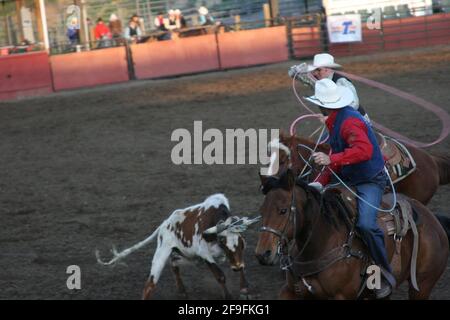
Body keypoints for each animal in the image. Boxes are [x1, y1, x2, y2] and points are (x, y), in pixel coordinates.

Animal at [96, 192, 256, 300]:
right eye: (223, 242)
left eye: (241, 244)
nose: (236, 267)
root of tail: (164, 224)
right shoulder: (204, 254)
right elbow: (220, 275)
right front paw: (229, 295)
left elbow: (241, 265)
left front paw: (244, 288)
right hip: (162, 252)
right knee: (150, 284)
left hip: (187, 256)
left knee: (174, 264)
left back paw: (182, 289)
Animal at [258, 171, 448, 298]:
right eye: (261, 210)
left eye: (283, 210)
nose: (263, 254)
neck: (321, 244)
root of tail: (434, 221)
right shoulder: (290, 291)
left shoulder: (342, 296)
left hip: (422, 284)